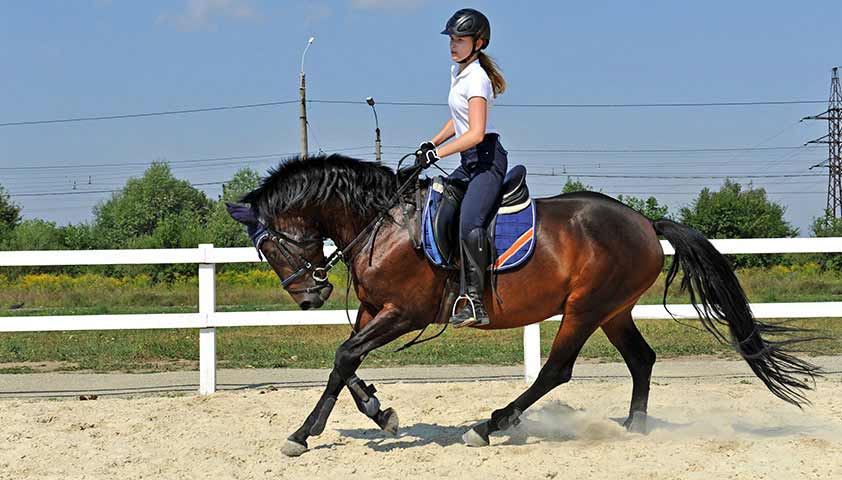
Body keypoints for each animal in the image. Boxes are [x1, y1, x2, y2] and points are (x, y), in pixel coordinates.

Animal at [226, 154, 816, 458]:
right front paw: (376, 412)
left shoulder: (405, 313)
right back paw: (632, 428)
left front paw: (306, 434)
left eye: (269, 246)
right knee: (641, 360)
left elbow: (344, 357)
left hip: (584, 309)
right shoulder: (376, 311)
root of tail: (646, 223)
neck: (382, 223)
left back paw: (491, 425)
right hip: (614, 311)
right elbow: (342, 362)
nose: (310, 296)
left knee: (556, 370)